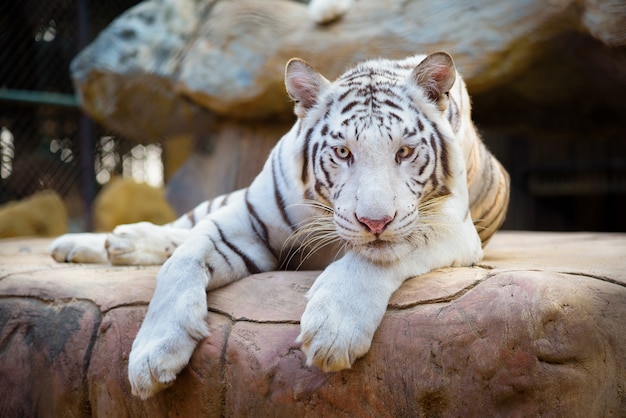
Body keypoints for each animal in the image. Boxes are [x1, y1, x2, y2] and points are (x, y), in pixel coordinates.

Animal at [48, 51, 510, 398]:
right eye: (343, 152)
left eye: (405, 152)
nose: (374, 221)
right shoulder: (245, 216)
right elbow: (182, 260)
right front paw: (150, 354)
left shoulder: (450, 225)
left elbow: (376, 257)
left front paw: (333, 330)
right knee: (182, 227)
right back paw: (94, 242)